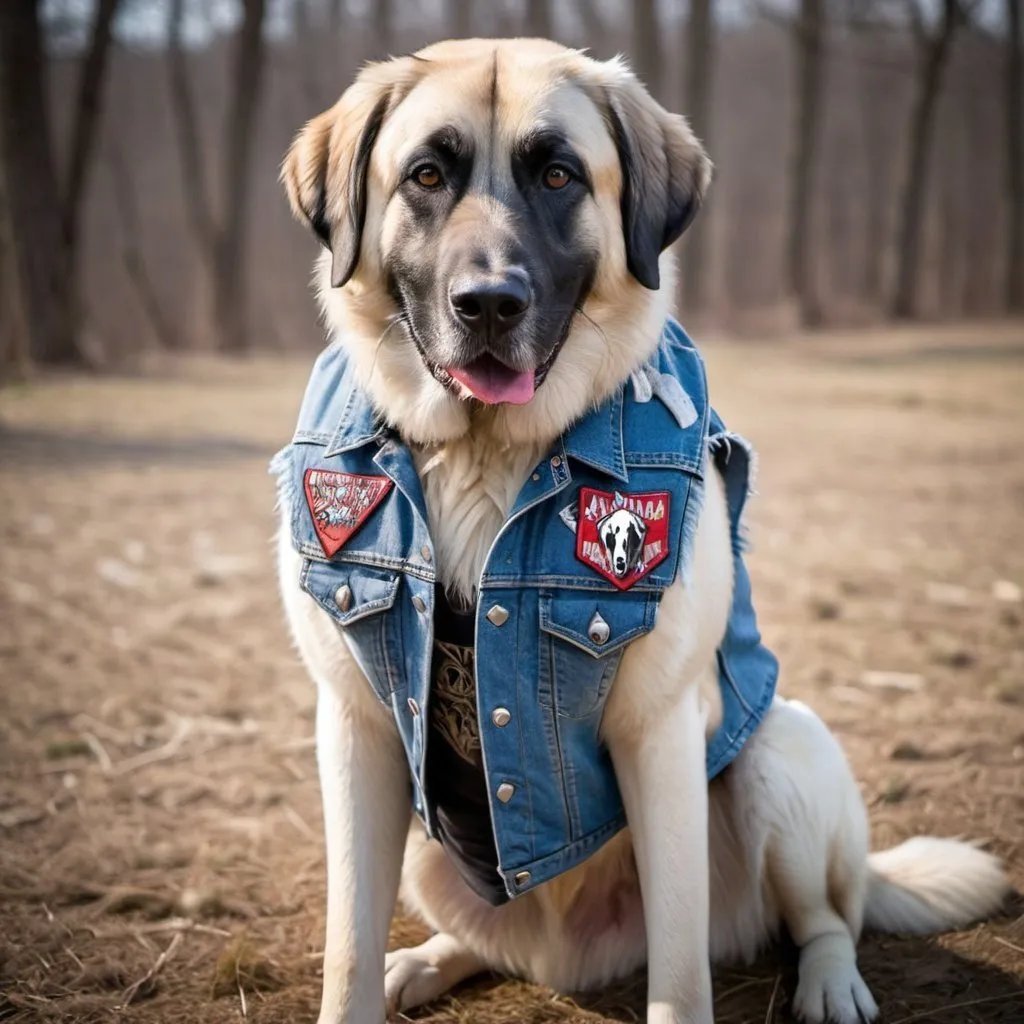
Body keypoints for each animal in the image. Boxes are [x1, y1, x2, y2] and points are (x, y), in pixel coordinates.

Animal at [276, 37, 1011, 1024]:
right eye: (427, 175)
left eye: (557, 175)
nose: (489, 303)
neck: (487, 454)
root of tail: (574, 958)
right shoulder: (359, 730)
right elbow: (348, 949)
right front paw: (371, 976)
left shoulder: (658, 737)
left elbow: (681, 970)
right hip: (431, 852)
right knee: (486, 944)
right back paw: (425, 962)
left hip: (780, 754)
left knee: (825, 915)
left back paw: (830, 984)